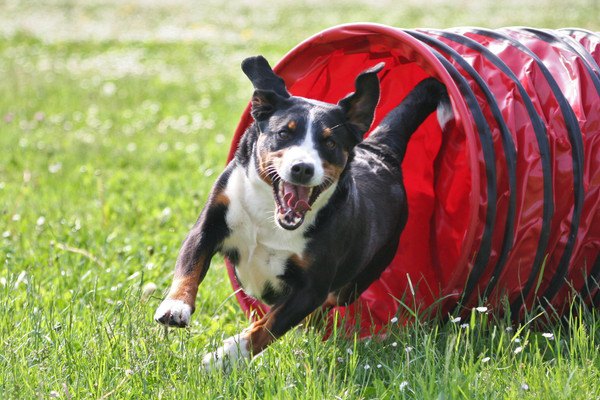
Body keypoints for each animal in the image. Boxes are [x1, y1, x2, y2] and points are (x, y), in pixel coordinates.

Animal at [154, 55, 450, 368]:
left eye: (330, 142)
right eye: (284, 132)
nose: (302, 168)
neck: (269, 216)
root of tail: (381, 152)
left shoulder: (311, 287)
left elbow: (268, 327)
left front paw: (225, 356)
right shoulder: (209, 225)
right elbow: (190, 266)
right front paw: (175, 306)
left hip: (357, 278)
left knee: (326, 305)